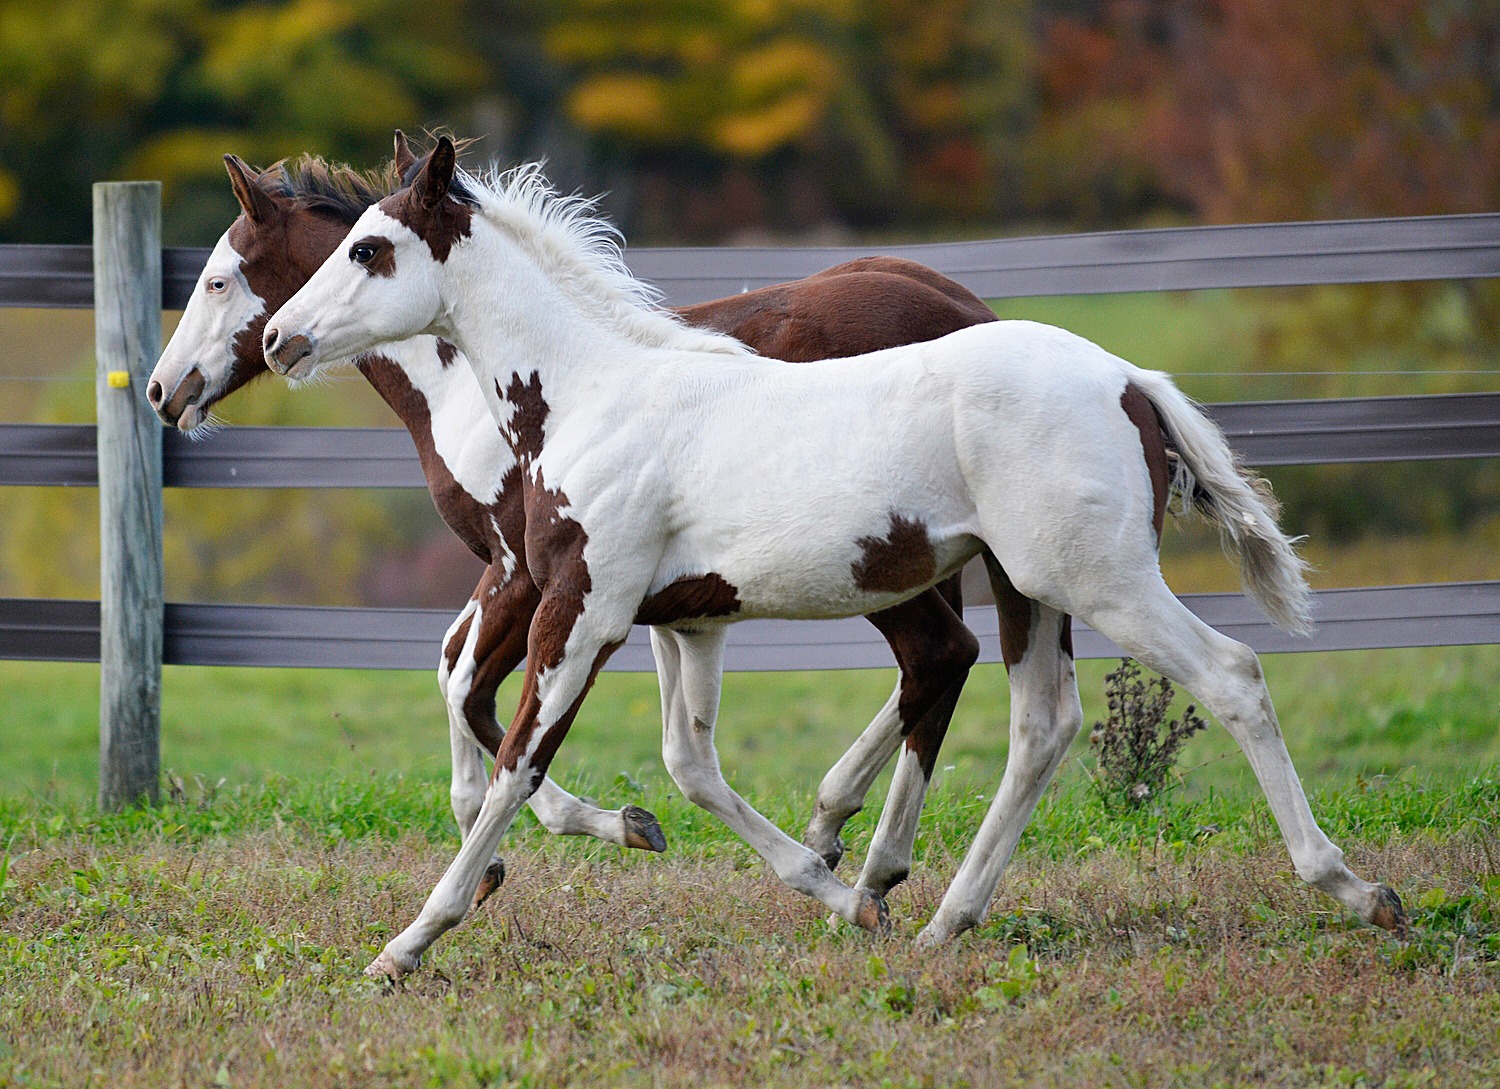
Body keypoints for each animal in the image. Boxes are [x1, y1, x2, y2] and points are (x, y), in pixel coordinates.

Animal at [264, 136, 1398, 984]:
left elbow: (515, 764)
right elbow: (681, 762)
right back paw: (940, 919)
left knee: (1229, 676)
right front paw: (834, 890)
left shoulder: (581, 607)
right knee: (1042, 726)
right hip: (1032, 589)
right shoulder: (683, 619)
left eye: (369, 249)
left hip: (1100, 582)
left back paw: (1355, 889)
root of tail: (1128, 378)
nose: (279, 340)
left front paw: (409, 942)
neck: (595, 393)